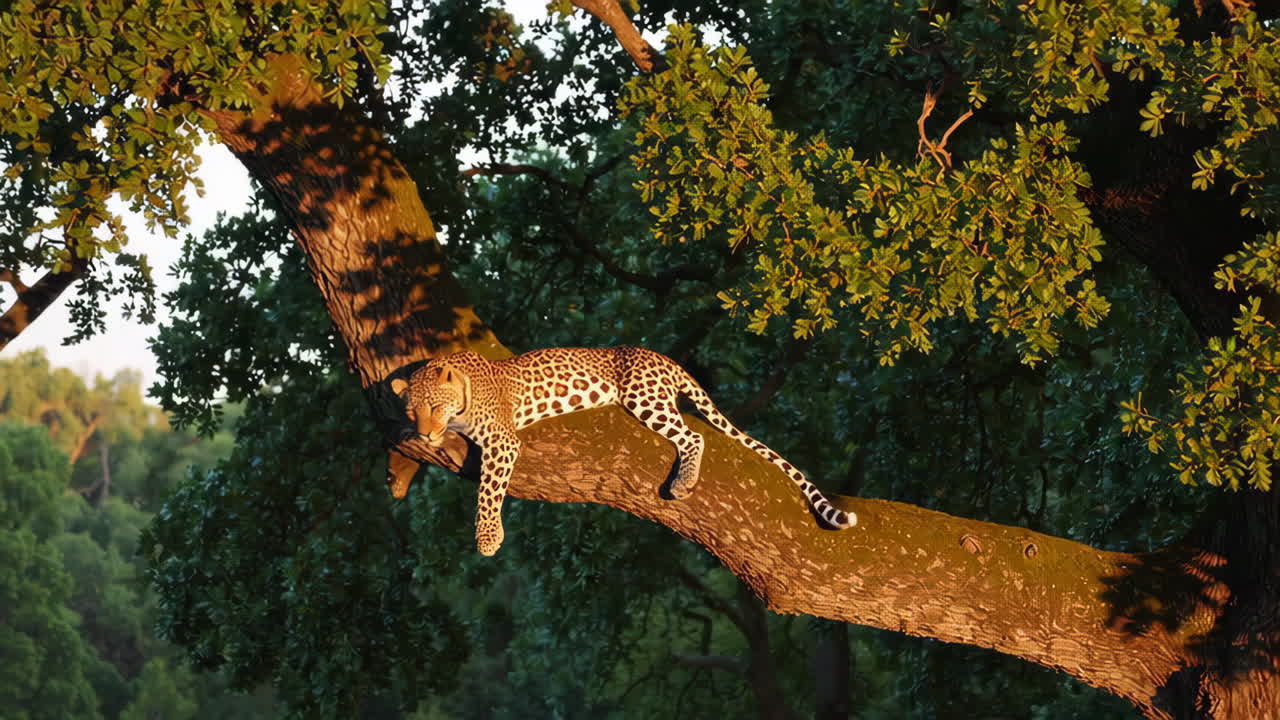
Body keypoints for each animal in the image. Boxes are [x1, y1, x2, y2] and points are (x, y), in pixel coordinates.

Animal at [390, 346, 856, 555]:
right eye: (414, 411)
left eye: (435, 407)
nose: (426, 434)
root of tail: (662, 357)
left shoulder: (502, 441)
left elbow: (488, 491)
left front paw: (488, 538)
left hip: (643, 395)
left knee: (695, 436)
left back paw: (683, 482)